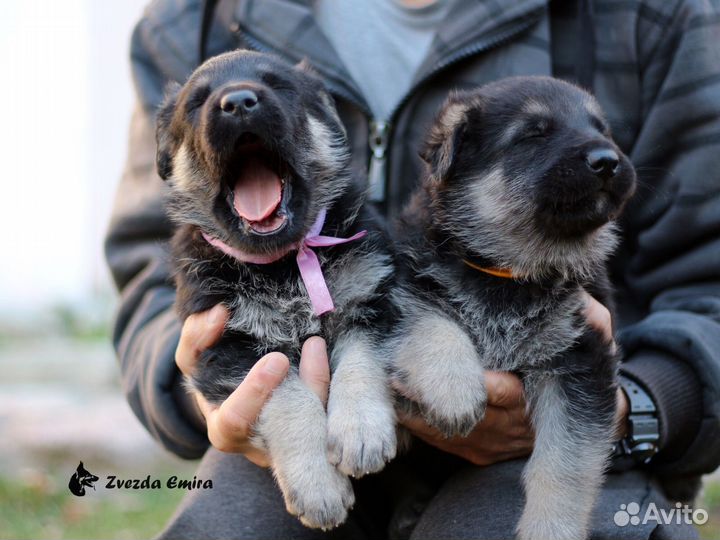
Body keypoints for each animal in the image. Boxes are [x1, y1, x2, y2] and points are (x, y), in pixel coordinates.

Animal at [155, 51, 396, 532]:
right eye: (197, 101)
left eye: (278, 84)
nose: (238, 103)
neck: (281, 264)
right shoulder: (228, 346)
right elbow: (287, 396)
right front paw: (319, 487)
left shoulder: (369, 299)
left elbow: (361, 361)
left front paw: (361, 432)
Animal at [388, 77, 636, 540]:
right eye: (534, 134)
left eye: (602, 129)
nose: (608, 161)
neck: (511, 270)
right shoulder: (404, 287)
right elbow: (433, 320)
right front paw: (453, 391)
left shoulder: (583, 358)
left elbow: (565, 464)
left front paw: (552, 529)